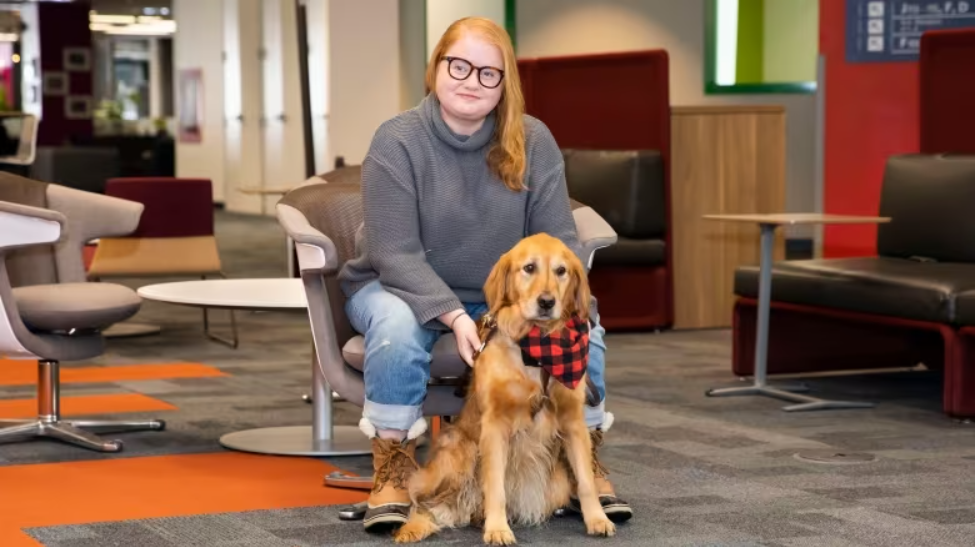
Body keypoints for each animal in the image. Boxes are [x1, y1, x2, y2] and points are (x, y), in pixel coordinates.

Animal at [392, 233, 612, 544]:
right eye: (529, 268)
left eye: (561, 271)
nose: (546, 302)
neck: (536, 352)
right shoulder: (495, 426)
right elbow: (495, 487)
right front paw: (497, 528)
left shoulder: (573, 422)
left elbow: (585, 480)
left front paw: (597, 518)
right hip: (459, 451)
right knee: (424, 503)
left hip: (555, 480)